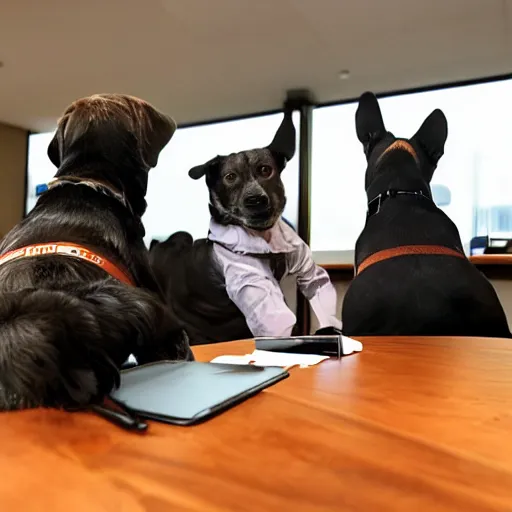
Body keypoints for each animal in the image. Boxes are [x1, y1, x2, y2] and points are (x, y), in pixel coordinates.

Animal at [150, 112, 342, 344]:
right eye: (230, 177)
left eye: (265, 170)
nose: (255, 200)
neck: (264, 237)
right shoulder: (250, 281)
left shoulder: (305, 265)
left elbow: (316, 281)